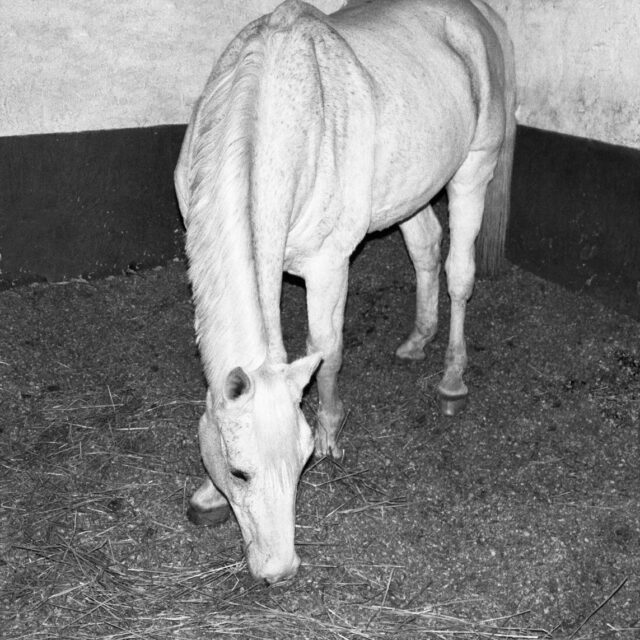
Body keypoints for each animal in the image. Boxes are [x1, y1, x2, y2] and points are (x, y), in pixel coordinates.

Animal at [174, 0, 516, 584]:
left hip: (473, 170)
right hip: (412, 189)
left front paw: (333, 430)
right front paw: (207, 496)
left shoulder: (327, 264)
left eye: (304, 461)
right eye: (239, 473)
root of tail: (480, 16)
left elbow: (326, 348)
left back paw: (451, 380)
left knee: (459, 274)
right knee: (425, 247)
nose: (281, 570)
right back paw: (416, 341)